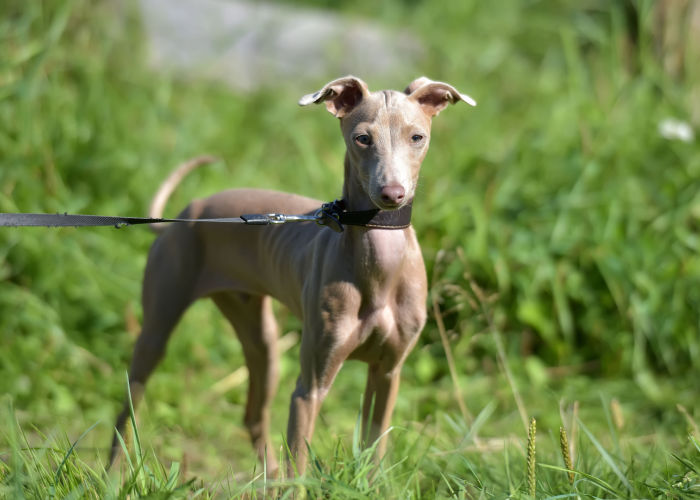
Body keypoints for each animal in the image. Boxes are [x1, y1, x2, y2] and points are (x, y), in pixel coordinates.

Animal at [110, 75, 476, 476]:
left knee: (253, 414)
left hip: (262, 340)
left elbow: (374, 450)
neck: (380, 266)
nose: (391, 194)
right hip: (157, 330)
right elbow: (298, 467)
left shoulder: (388, 373)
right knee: (127, 411)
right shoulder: (309, 387)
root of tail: (187, 213)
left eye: (417, 137)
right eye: (362, 138)